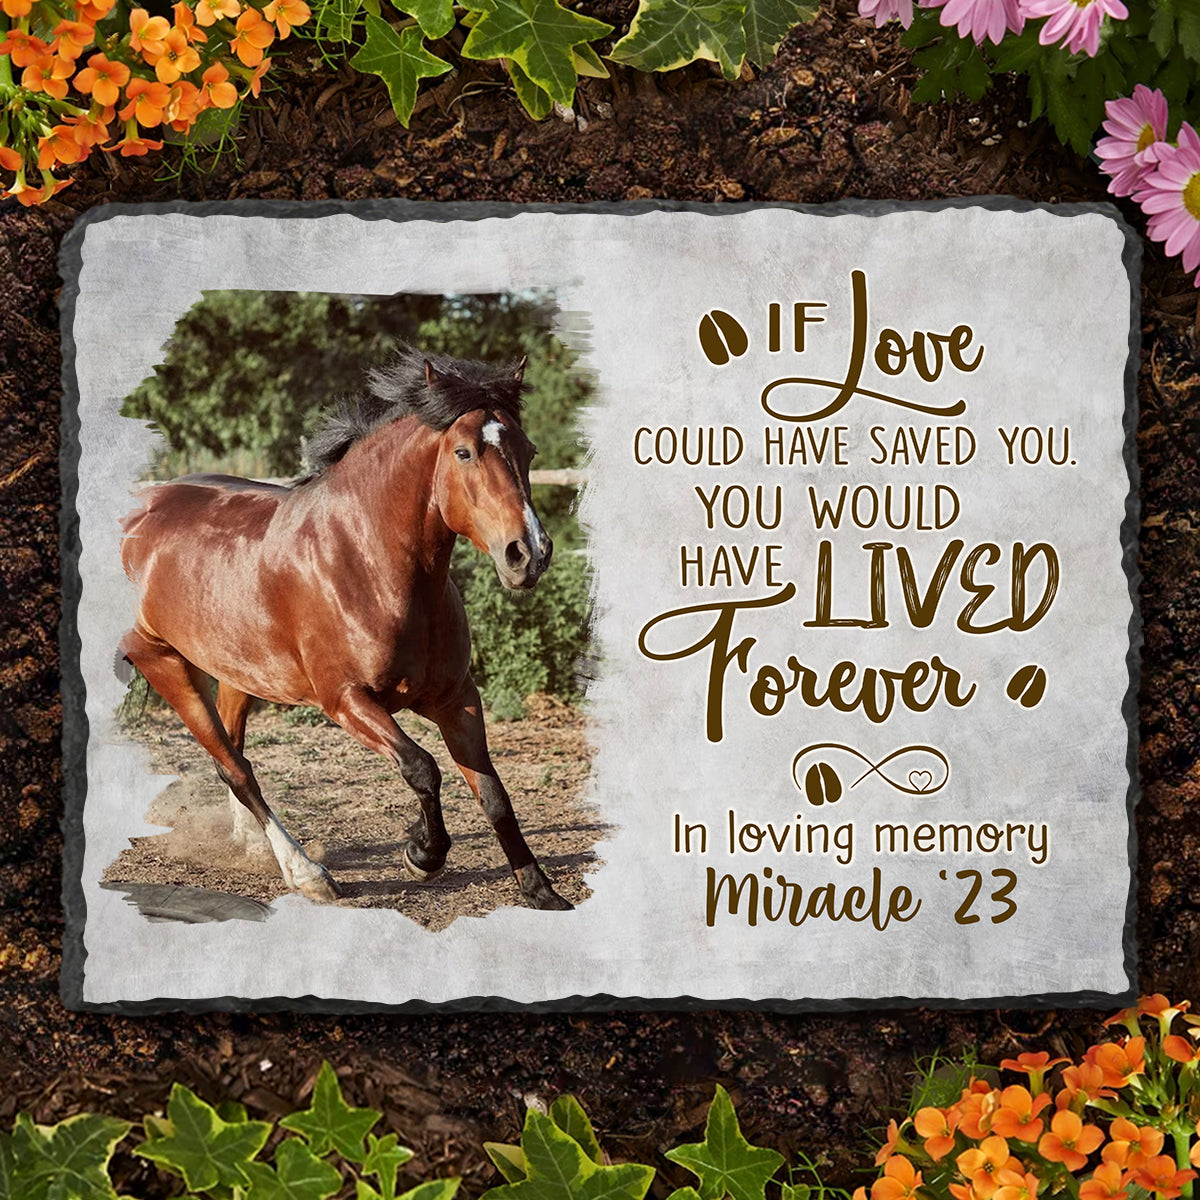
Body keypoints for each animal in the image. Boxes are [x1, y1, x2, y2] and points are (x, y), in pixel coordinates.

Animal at [119, 348, 573, 912]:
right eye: (464, 452)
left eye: (528, 450)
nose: (528, 554)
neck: (365, 561)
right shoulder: (346, 700)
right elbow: (422, 767)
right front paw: (422, 855)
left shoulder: (457, 698)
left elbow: (494, 795)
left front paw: (541, 891)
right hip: (163, 664)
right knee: (236, 768)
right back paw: (307, 874)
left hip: (238, 672)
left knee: (234, 755)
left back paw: (255, 847)